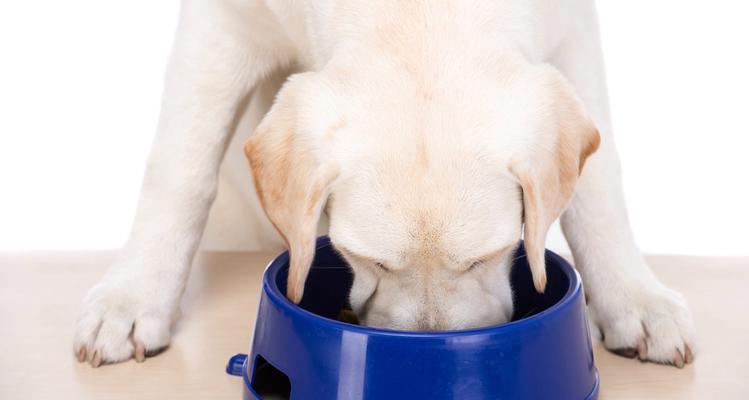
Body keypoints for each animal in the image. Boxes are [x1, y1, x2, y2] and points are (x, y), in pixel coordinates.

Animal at [73, 0, 692, 368]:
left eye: (487, 257)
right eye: (367, 261)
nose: (428, 344)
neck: (417, 12)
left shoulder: (572, 28)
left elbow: (599, 190)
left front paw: (633, 299)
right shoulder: (221, 23)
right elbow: (180, 167)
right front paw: (133, 297)